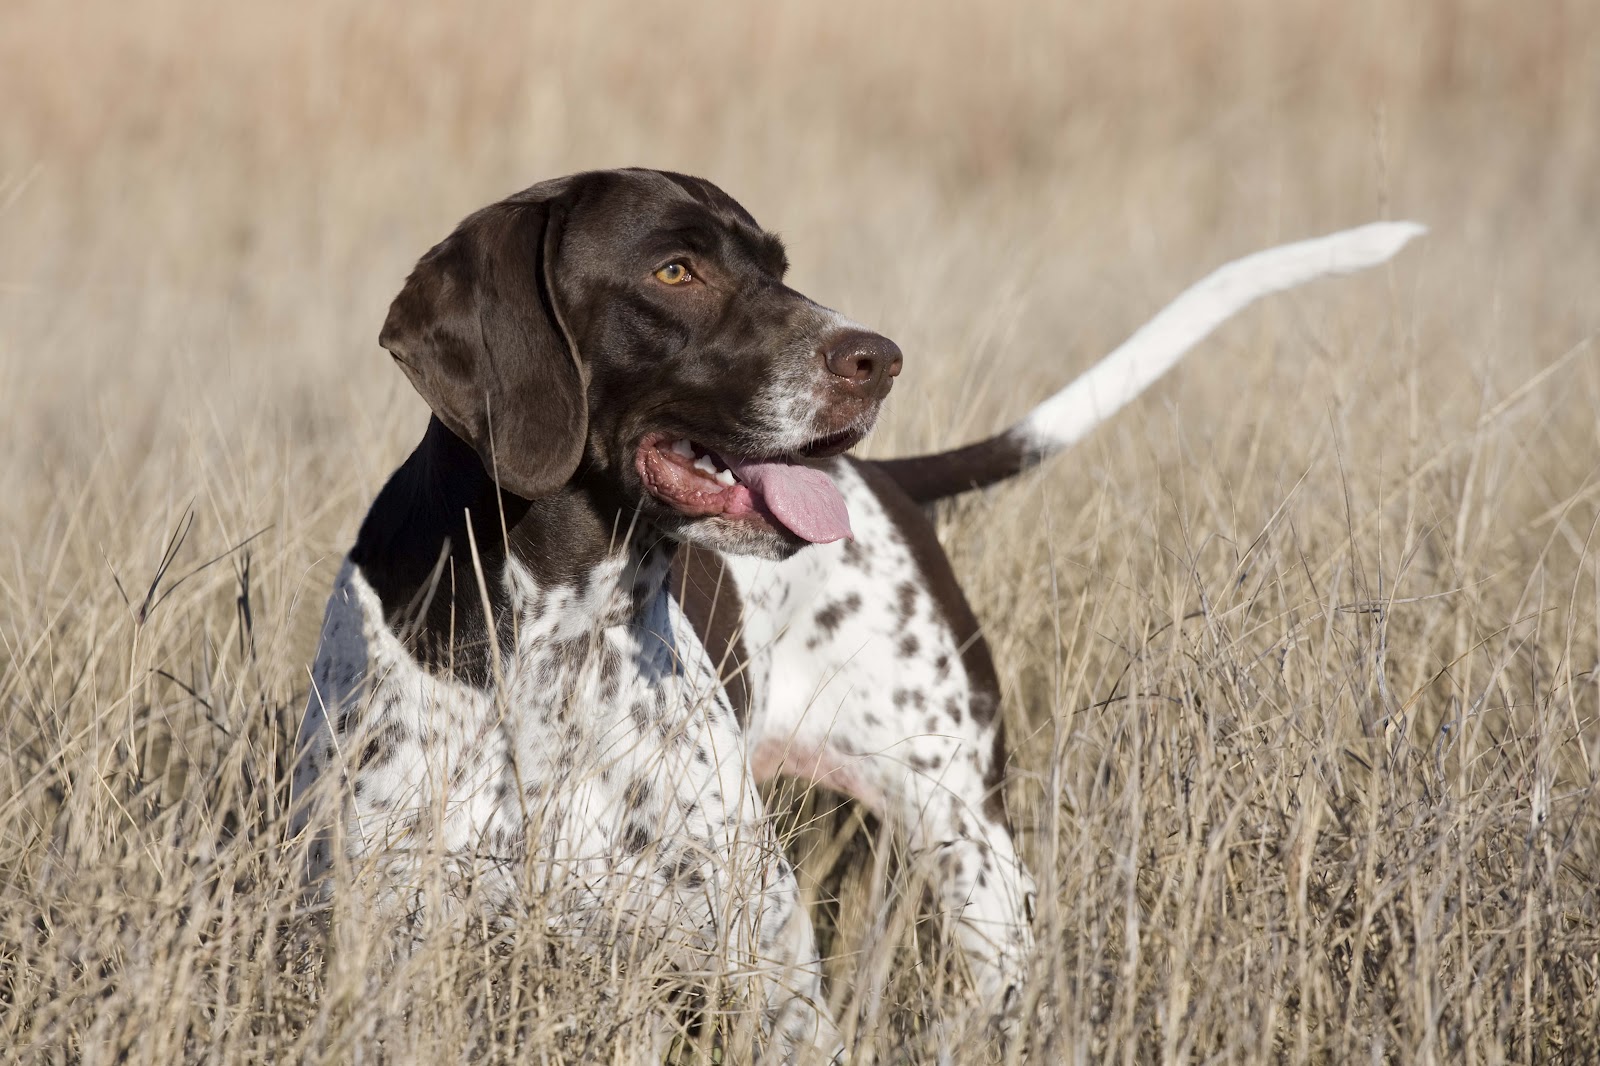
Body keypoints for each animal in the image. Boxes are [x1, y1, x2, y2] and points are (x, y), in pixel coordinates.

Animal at [291, 164, 1427, 1056]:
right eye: (675, 270)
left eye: (778, 265)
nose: (878, 357)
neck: (557, 647)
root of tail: (882, 478)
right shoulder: (380, 949)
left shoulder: (761, 966)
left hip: (972, 857)